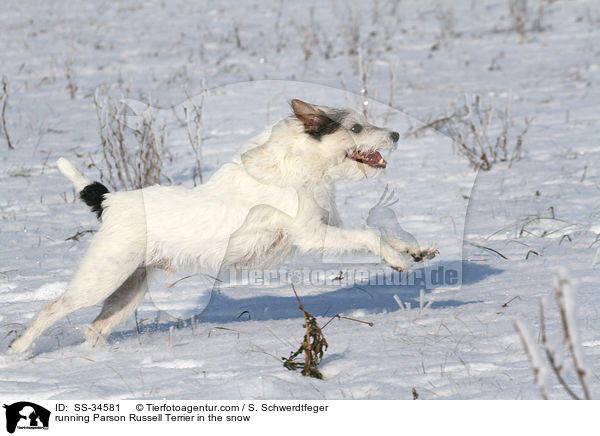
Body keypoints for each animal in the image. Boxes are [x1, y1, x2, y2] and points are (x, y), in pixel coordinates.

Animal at [9, 99, 438, 354]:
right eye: (356, 128)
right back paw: (19, 350)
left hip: (127, 290)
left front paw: (415, 250)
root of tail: (112, 202)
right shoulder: (314, 235)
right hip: (101, 277)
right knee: (52, 309)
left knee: (94, 328)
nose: (397, 134)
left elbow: (385, 233)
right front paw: (397, 261)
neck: (299, 165)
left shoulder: (328, 225)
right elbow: (369, 236)